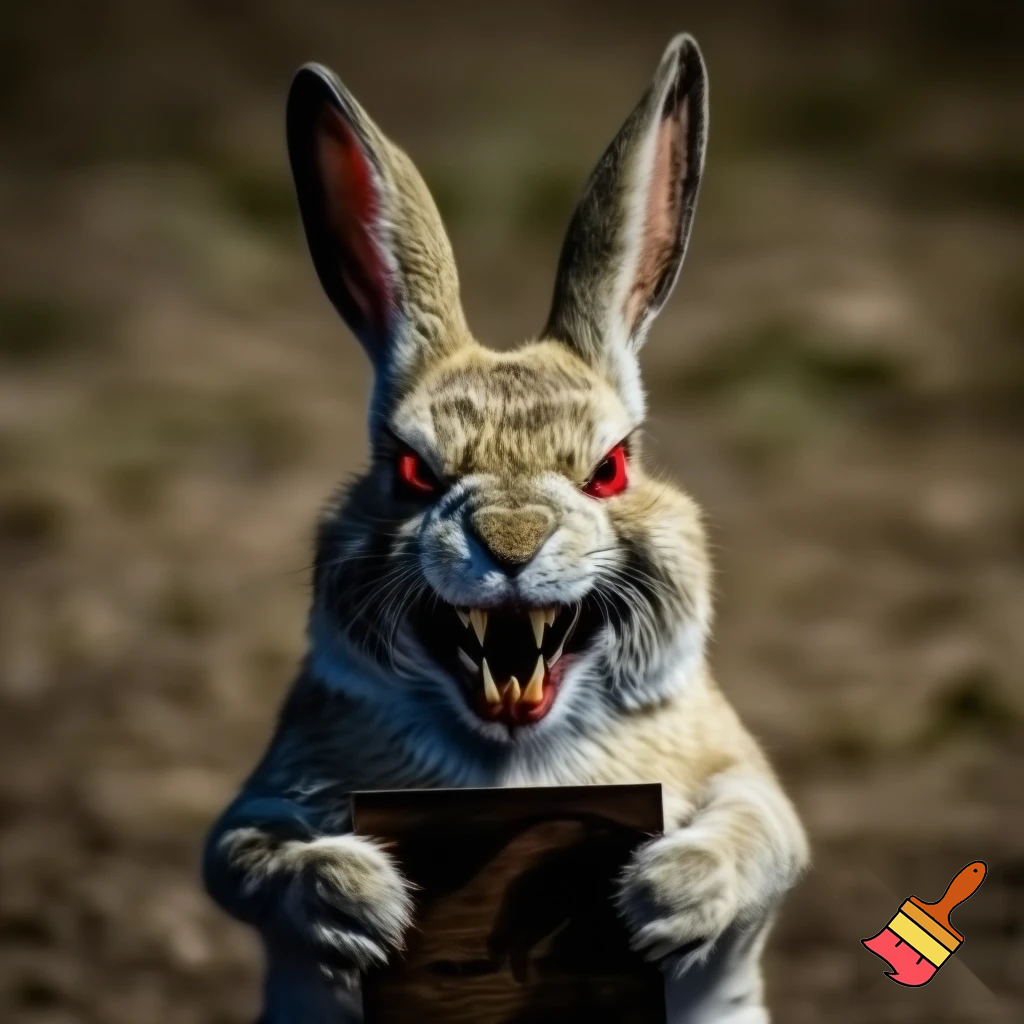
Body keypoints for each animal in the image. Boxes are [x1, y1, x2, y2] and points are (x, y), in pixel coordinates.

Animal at [203, 33, 808, 1024]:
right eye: (415, 471)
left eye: (611, 469)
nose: (512, 543)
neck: (514, 753)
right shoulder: (264, 801)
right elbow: (247, 858)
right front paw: (367, 902)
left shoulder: (741, 780)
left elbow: (764, 833)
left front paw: (661, 895)